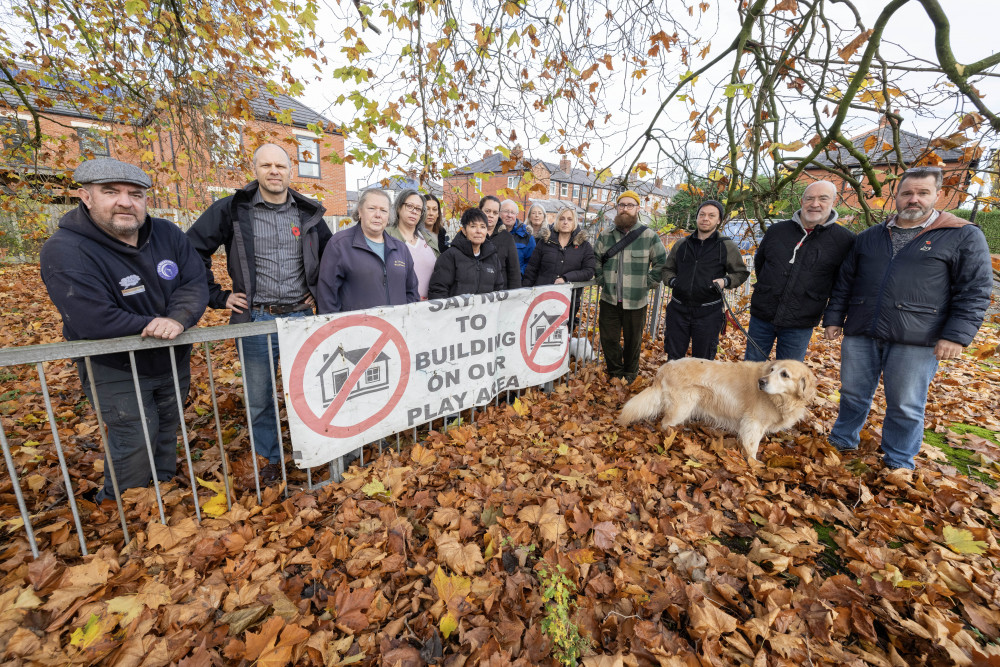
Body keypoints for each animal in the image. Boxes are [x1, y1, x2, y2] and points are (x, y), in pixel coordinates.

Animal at [620, 360, 816, 460]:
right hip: (682, 407)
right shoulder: (754, 423)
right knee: (665, 423)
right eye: (772, 370)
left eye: (784, 374)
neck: (781, 400)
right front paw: (753, 465)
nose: (761, 381)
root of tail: (664, 368)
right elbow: (752, 447)